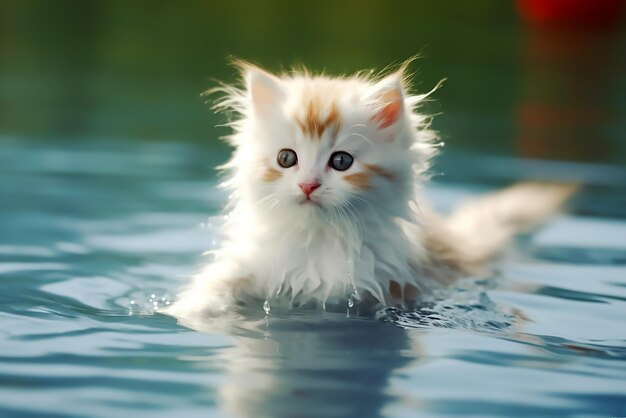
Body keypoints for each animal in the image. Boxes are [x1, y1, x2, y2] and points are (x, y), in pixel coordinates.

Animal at [165, 60, 572, 318]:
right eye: (286, 158)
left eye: (341, 162)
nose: (308, 185)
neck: (319, 237)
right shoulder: (255, 263)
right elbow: (217, 284)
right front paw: (183, 310)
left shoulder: (382, 287)